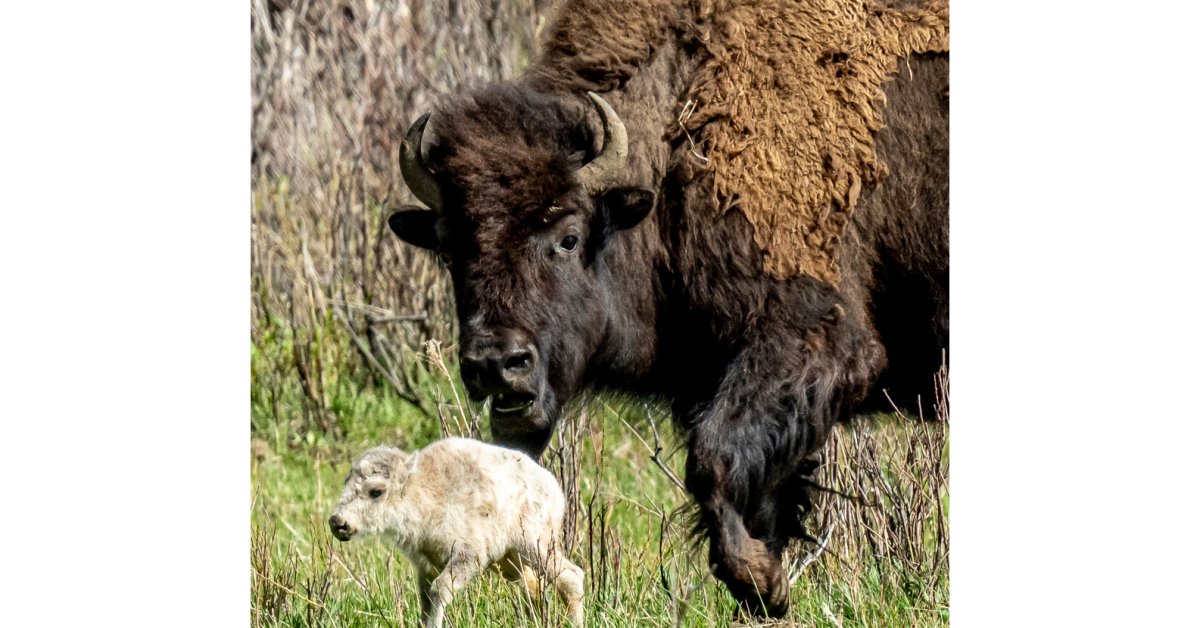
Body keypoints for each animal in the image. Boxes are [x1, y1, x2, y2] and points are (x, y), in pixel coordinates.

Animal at [328, 439, 585, 624]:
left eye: (376, 491)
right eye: (346, 482)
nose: (338, 522)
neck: (424, 492)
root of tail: (553, 487)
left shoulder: (467, 555)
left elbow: (439, 592)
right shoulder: (426, 566)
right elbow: (426, 602)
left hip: (535, 544)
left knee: (571, 576)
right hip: (510, 560)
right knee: (534, 588)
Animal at [384, 0, 945, 619]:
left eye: (569, 237)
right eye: (449, 248)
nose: (495, 363)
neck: (681, 134)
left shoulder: (816, 342)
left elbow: (712, 461)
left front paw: (760, 581)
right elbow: (757, 496)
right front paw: (766, 585)